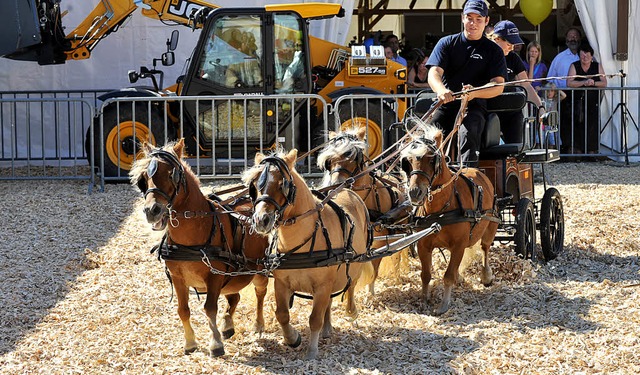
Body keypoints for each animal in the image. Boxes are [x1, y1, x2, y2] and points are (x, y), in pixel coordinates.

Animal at [129, 140, 268, 356]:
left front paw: (215, 344)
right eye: (143, 178)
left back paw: (258, 325)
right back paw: (228, 325)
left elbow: (209, 308)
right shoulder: (177, 277)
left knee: (260, 292)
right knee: (234, 297)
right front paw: (190, 343)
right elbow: (183, 310)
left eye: (171, 174)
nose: (152, 210)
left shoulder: (215, 276)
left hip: (258, 269)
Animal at [244, 148, 376, 362]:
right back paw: (327, 328)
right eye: (254, 185)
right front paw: (292, 338)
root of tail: (350, 192)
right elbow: (282, 314)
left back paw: (351, 312)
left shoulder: (322, 285)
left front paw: (312, 351)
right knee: (329, 302)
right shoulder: (282, 284)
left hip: (354, 265)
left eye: (282, 185)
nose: (261, 220)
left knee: (350, 286)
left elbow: (314, 319)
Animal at [316, 126, 410, 294]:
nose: (335, 186)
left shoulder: (379, 243)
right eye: (329, 161)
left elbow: (375, 268)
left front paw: (370, 293)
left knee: (397, 256)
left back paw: (398, 278)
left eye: (353, 158)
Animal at [400, 119, 500, 316]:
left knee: (485, 248)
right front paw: (424, 300)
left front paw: (444, 305)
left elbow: (447, 276)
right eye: (408, 161)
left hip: (490, 226)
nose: (415, 193)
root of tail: (477, 170)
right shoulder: (423, 245)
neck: (441, 208)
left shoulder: (459, 244)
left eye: (432, 159)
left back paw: (486, 275)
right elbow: (426, 275)